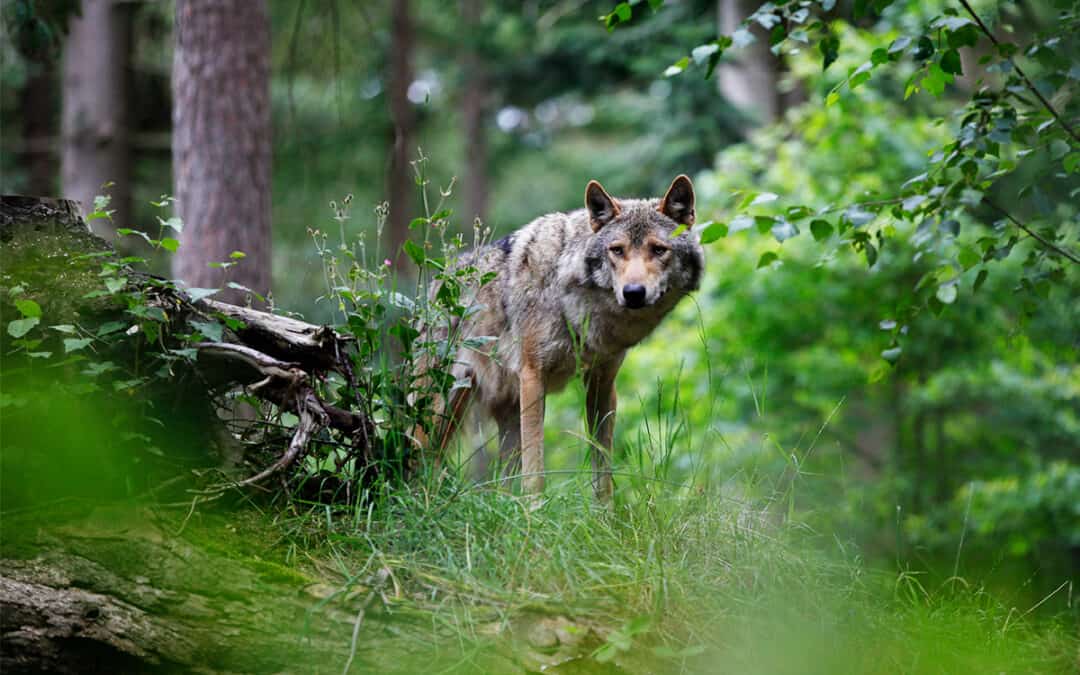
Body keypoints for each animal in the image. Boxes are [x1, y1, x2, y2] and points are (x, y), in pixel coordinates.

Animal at [414, 175, 704, 500]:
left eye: (658, 250)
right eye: (617, 250)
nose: (633, 293)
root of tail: (435, 282)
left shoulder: (602, 384)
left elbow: (603, 471)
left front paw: (605, 513)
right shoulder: (532, 377)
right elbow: (536, 471)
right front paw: (534, 510)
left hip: (500, 419)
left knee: (499, 487)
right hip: (437, 413)